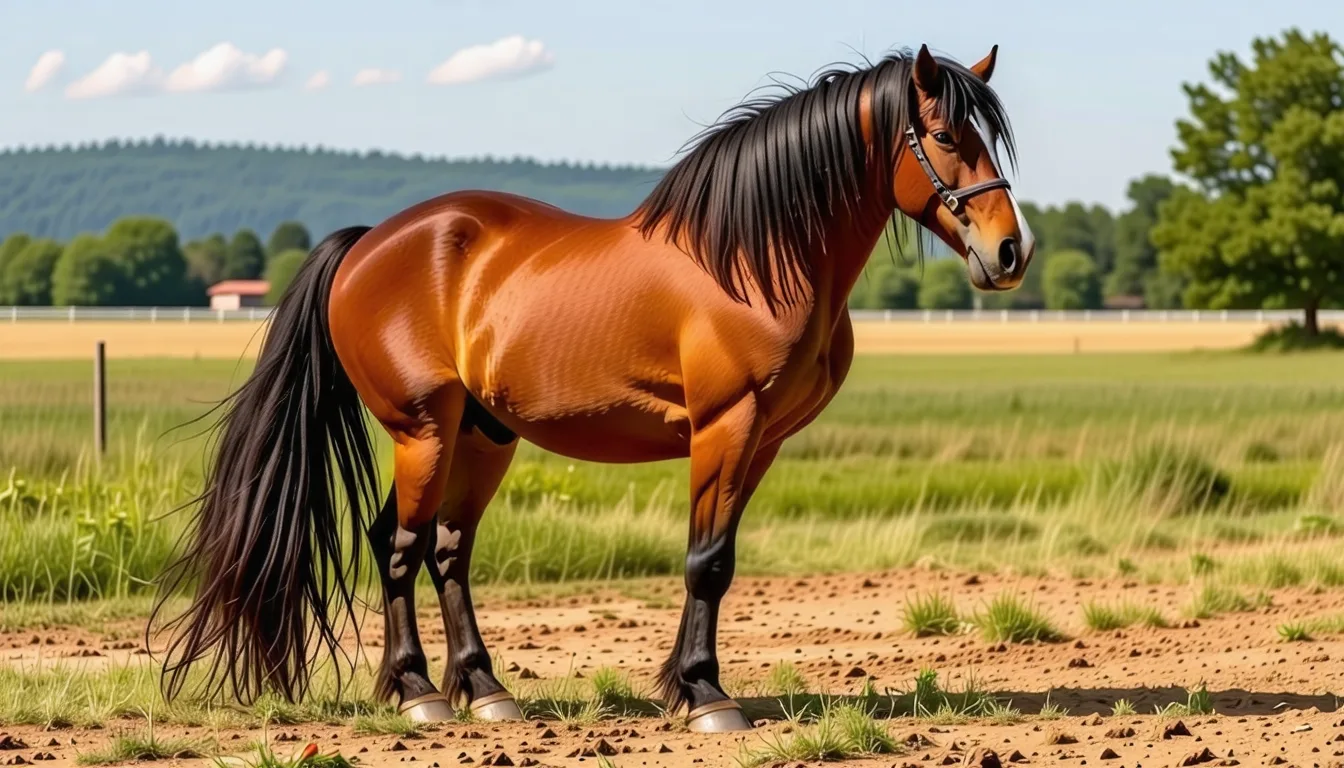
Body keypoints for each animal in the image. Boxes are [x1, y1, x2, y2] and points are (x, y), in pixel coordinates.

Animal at [151, 43, 1034, 733]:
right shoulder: (725, 424)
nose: (1010, 252)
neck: (753, 259)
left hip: (482, 435)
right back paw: (418, 693)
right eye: (945, 135)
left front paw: (682, 687)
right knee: (398, 545)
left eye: (990, 135)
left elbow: (718, 559)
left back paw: (485, 689)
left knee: (444, 550)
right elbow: (707, 560)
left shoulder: (762, 441)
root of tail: (370, 244)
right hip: (421, 431)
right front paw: (707, 696)